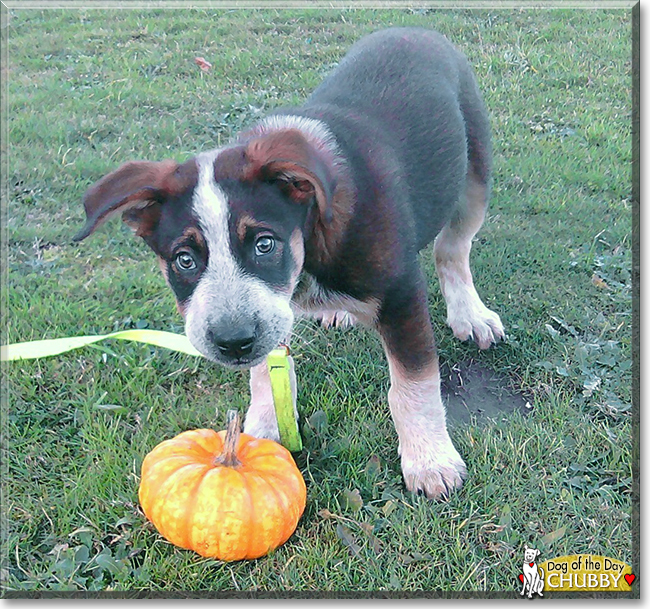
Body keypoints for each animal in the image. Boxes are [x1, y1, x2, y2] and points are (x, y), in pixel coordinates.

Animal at [74, 26, 502, 496]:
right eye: (184, 260)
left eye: (264, 244)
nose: (232, 342)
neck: (310, 245)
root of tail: (414, 30)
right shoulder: (269, 315)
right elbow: (266, 372)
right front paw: (263, 430)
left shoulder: (401, 295)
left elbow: (414, 385)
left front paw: (430, 460)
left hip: (474, 176)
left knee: (452, 250)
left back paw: (470, 315)